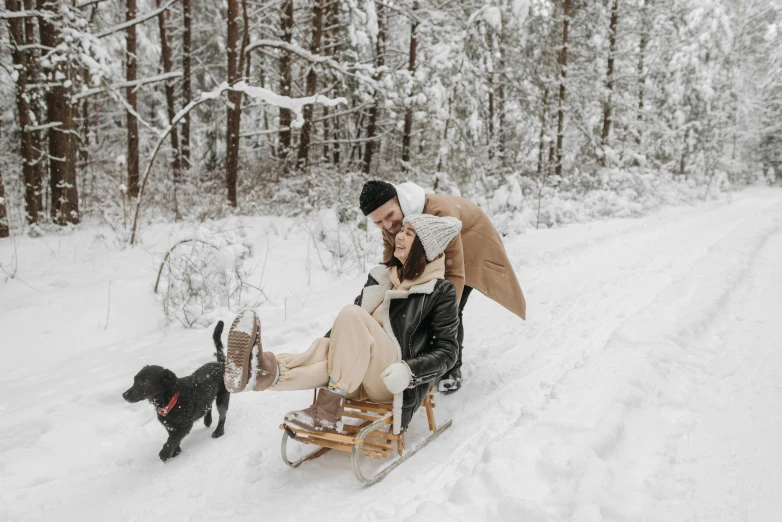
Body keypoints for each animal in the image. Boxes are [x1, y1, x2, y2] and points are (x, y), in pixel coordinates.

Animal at [123, 320, 230, 460]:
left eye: (144, 382)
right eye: (134, 380)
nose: (124, 395)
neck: (170, 400)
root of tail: (220, 364)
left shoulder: (185, 425)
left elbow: (172, 440)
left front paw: (165, 453)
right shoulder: (170, 426)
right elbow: (173, 439)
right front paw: (176, 451)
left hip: (223, 397)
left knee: (222, 415)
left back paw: (218, 431)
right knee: (208, 406)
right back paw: (207, 420)